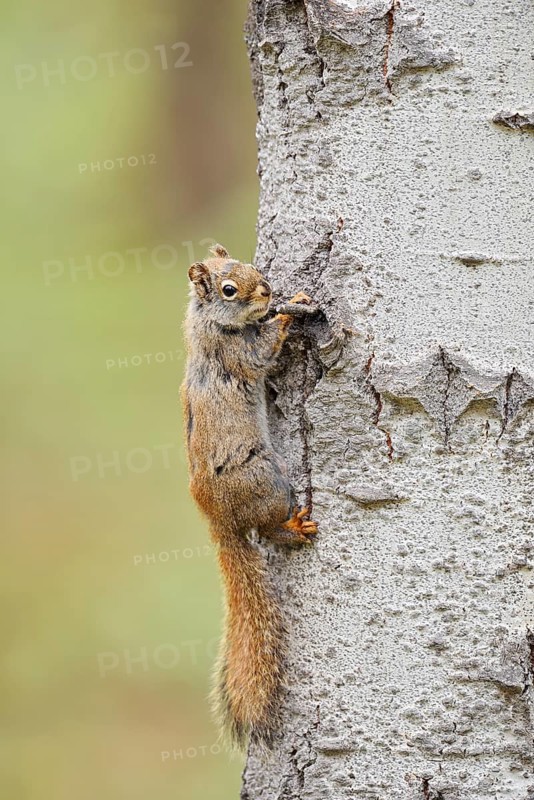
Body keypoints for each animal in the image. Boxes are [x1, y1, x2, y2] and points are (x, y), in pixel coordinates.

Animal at [181, 243, 318, 750]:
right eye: (228, 289)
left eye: (253, 266)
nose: (268, 289)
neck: (210, 324)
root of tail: (218, 520)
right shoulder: (235, 353)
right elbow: (261, 355)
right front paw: (288, 312)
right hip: (269, 479)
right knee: (267, 528)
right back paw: (294, 527)